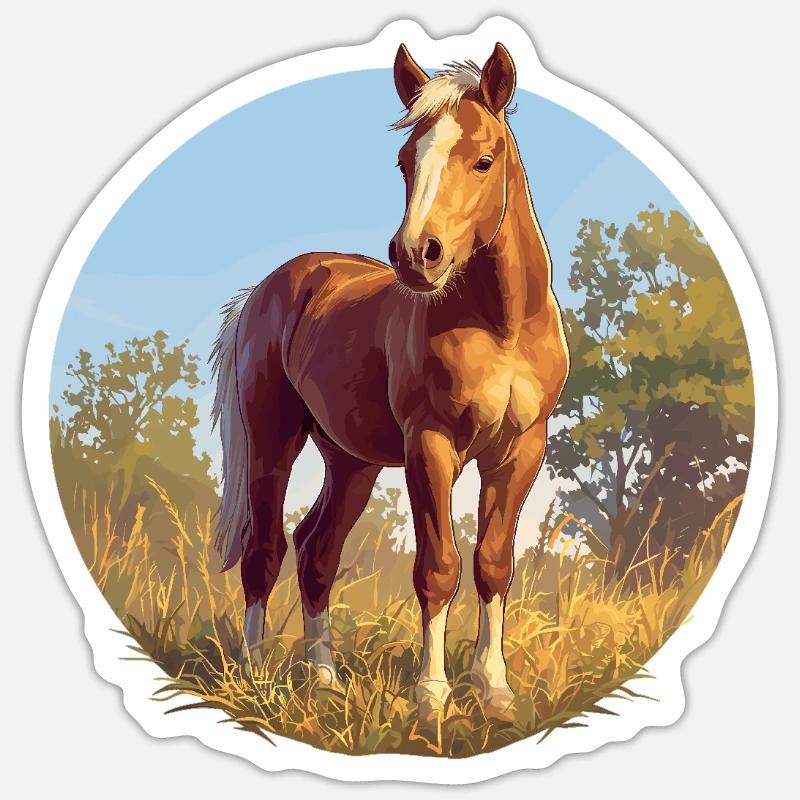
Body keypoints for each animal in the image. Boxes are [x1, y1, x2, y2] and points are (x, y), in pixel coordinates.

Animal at [211, 42, 569, 724]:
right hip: (274, 442)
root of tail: (272, 288)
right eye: (405, 160)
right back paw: (253, 676)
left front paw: (494, 690)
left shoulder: (520, 451)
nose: (415, 255)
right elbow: (438, 567)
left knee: (316, 553)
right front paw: (432, 697)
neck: (502, 326)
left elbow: (492, 562)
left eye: (484, 161)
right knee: (264, 551)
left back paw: (324, 681)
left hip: (352, 461)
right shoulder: (429, 445)